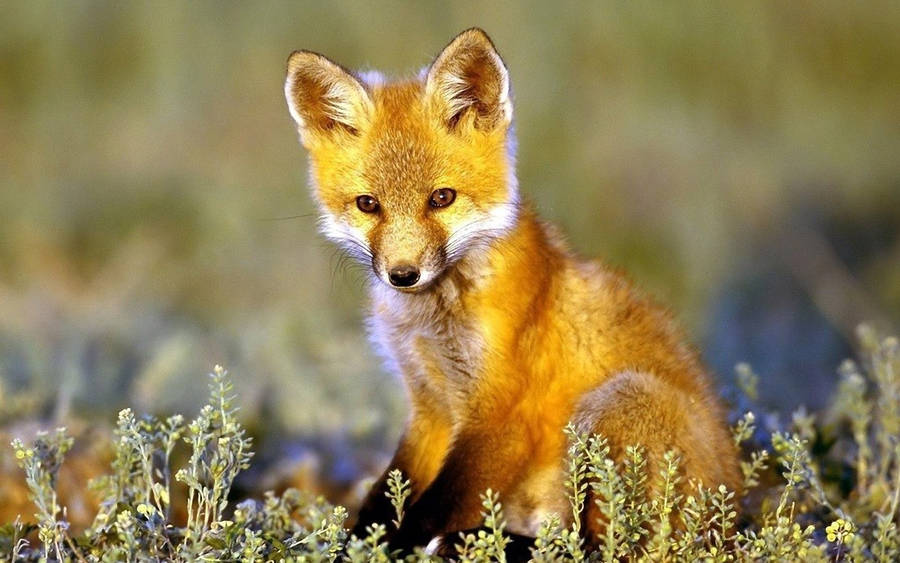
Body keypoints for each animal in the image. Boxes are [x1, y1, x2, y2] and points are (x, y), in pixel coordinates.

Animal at [283, 28, 740, 555]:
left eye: (441, 198)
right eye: (368, 205)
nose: (403, 274)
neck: (434, 319)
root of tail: (731, 515)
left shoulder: (503, 414)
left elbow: (432, 508)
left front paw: (396, 549)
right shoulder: (430, 404)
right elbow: (386, 492)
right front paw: (356, 542)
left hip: (617, 402)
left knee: (599, 545)